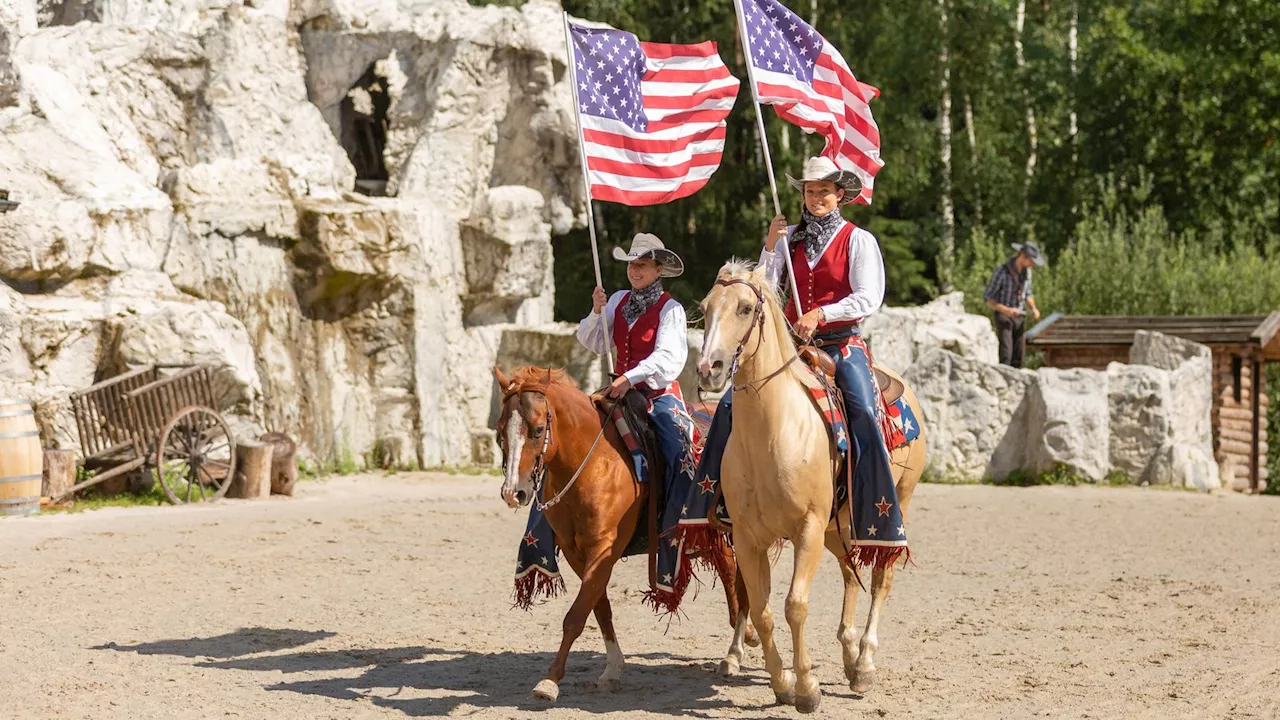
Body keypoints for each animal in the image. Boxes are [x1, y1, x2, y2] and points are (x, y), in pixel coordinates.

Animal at [491, 363, 747, 702]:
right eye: (499, 432)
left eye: (537, 429)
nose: (513, 492)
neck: (592, 461)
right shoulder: (577, 553)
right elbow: (599, 607)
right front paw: (612, 668)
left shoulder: (604, 548)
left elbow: (575, 616)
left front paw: (550, 680)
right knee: (733, 573)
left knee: (737, 580)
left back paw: (736, 651)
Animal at [696, 260, 926, 707]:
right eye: (705, 307)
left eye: (746, 308)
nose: (708, 368)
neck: (773, 431)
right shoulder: (748, 537)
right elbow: (763, 609)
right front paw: (781, 682)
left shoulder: (808, 529)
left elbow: (795, 606)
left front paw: (805, 688)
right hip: (839, 527)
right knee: (850, 574)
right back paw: (851, 657)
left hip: (891, 511)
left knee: (880, 578)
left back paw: (865, 662)